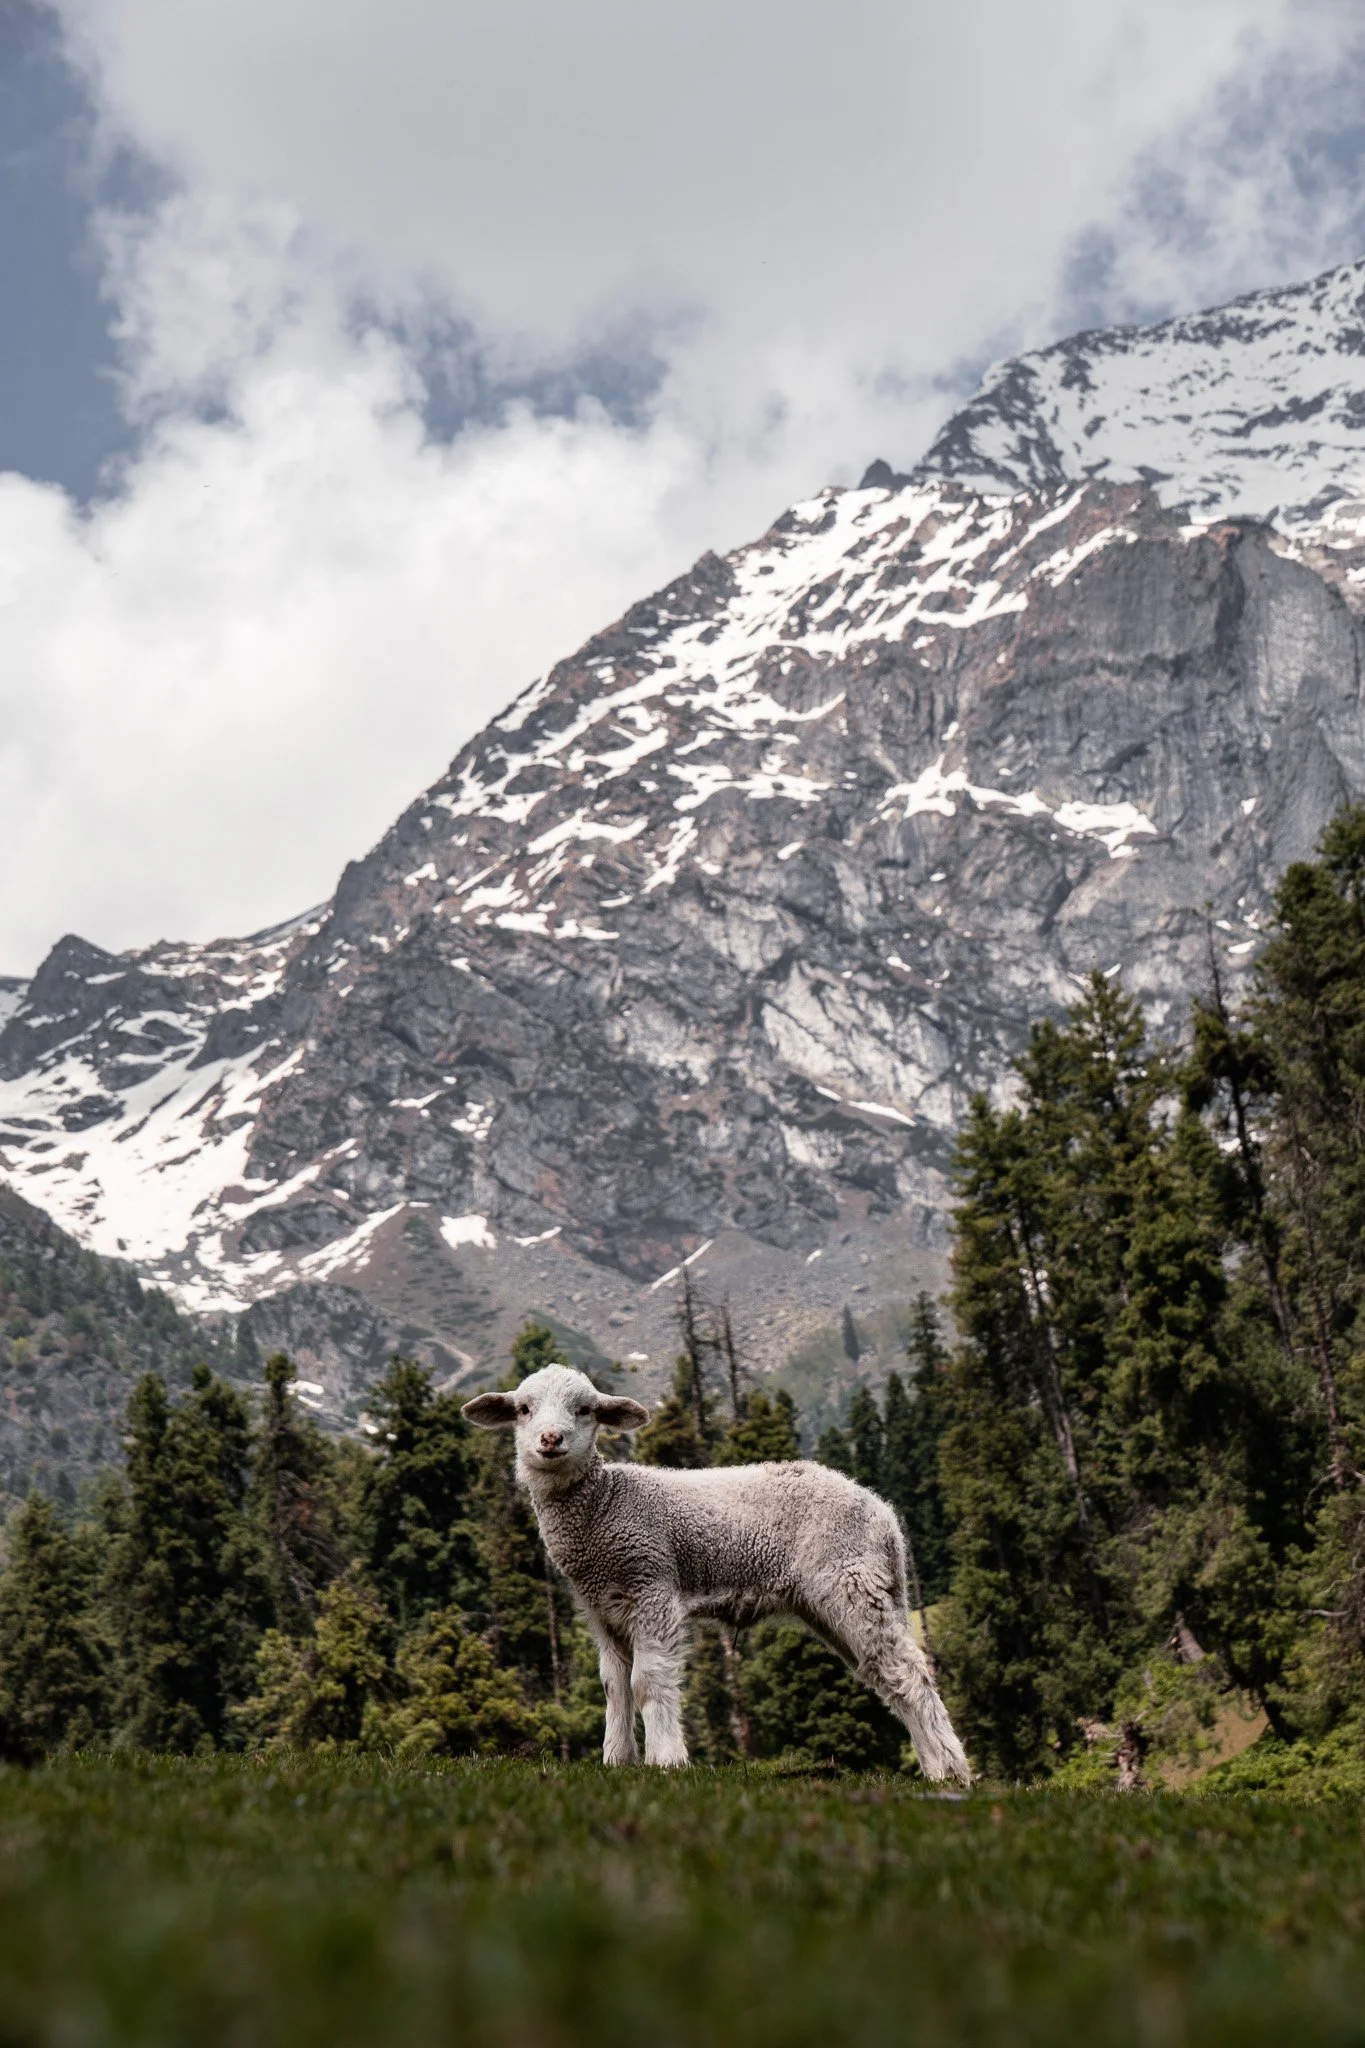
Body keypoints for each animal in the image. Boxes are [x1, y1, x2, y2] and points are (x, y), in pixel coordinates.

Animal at [463, 1362, 971, 1782]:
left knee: (909, 1674)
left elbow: (647, 1681)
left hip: (850, 1579)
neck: (603, 1505)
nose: (551, 1440)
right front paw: (616, 1760)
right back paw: (934, 1769)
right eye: (523, 1409)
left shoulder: (652, 1585)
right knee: (886, 1675)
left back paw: (952, 1770)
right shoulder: (602, 1608)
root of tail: (883, 1513)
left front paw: (666, 1760)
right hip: (849, 1594)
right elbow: (614, 1688)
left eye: (584, 1409)